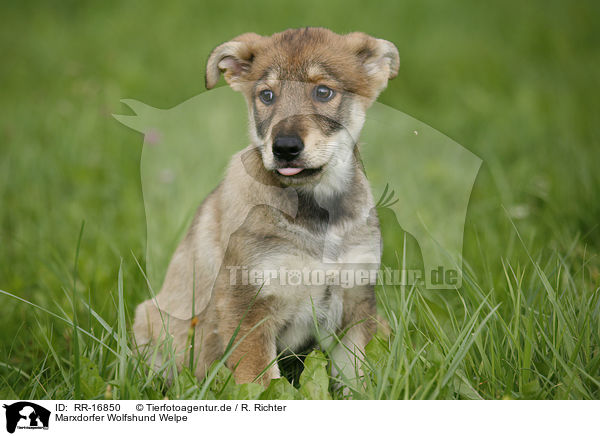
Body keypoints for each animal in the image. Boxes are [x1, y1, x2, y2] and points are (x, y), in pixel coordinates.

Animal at [134, 27, 400, 386]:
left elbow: (355, 378)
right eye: (267, 95)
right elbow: (262, 382)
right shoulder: (247, 307)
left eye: (323, 91)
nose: (284, 147)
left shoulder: (355, 303)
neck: (316, 213)